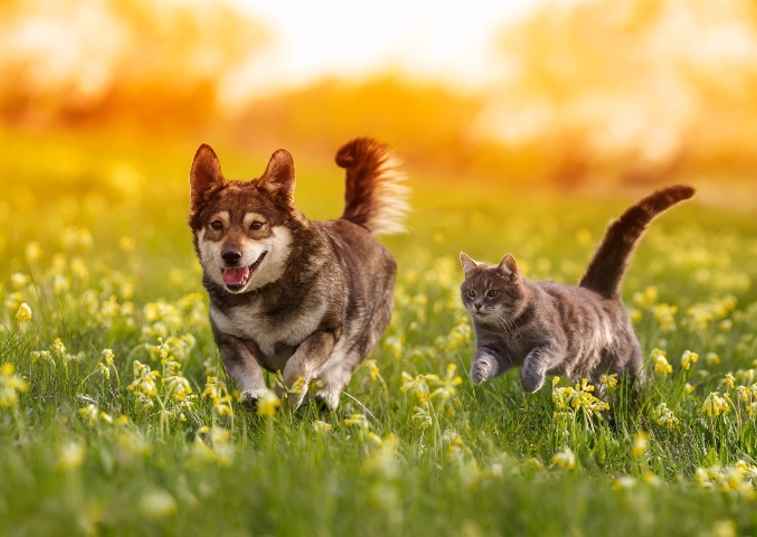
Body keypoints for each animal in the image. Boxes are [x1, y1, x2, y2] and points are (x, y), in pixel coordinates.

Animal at [188, 138, 408, 410]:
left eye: (256, 225)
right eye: (216, 225)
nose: (230, 255)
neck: (263, 293)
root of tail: (355, 223)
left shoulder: (324, 332)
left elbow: (297, 365)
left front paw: (286, 396)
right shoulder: (230, 340)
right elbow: (248, 369)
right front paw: (256, 395)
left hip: (364, 336)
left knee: (341, 370)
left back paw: (327, 398)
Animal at [458, 186, 692, 392]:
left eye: (492, 293)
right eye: (471, 292)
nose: (477, 305)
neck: (507, 328)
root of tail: (600, 291)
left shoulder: (553, 343)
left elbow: (535, 358)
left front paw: (530, 382)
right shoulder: (493, 348)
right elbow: (484, 360)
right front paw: (478, 374)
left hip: (624, 363)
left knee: (634, 382)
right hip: (592, 372)